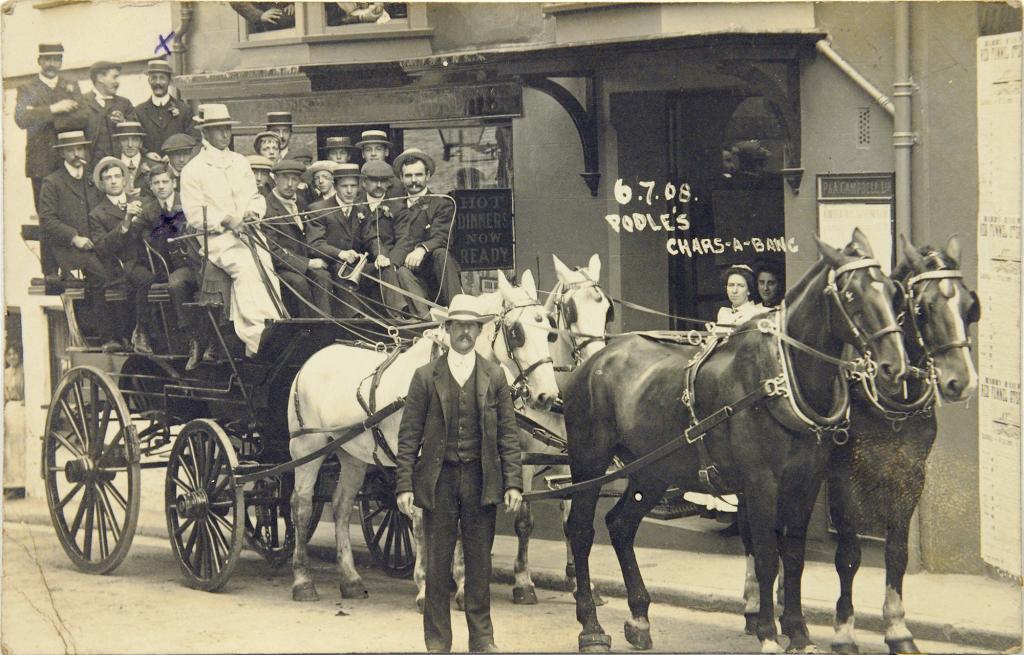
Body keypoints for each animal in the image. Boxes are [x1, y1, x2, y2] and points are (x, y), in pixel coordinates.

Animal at [286, 268, 561, 601]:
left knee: (340, 507)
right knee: (300, 506)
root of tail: (312, 360)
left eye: (549, 332)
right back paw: (302, 580)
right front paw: (426, 586)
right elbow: (420, 524)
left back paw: (350, 579)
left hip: (352, 453)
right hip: (306, 447)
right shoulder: (419, 461)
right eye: (517, 332)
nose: (547, 395)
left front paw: (462, 586)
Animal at [561, 229, 905, 650]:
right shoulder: (760, 484)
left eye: (891, 289)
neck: (780, 378)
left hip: (652, 470)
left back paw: (639, 617)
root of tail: (594, 359)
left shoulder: (805, 482)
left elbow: (793, 557)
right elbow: (767, 557)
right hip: (589, 460)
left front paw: (798, 631)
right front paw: (769, 634)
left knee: (621, 525)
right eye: (852, 294)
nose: (893, 365)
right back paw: (590, 626)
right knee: (581, 530)